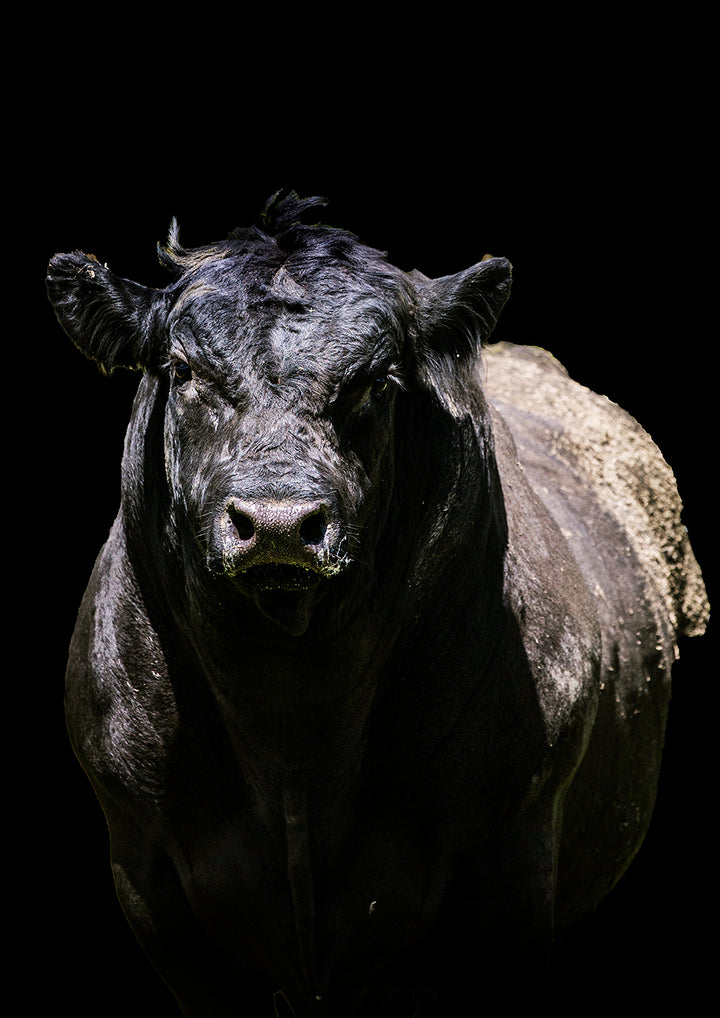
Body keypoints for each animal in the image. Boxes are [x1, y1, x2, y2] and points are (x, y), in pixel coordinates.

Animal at [47, 192, 709, 1017]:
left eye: (377, 380)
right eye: (183, 368)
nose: (277, 521)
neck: (293, 732)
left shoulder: (512, 870)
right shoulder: (148, 873)